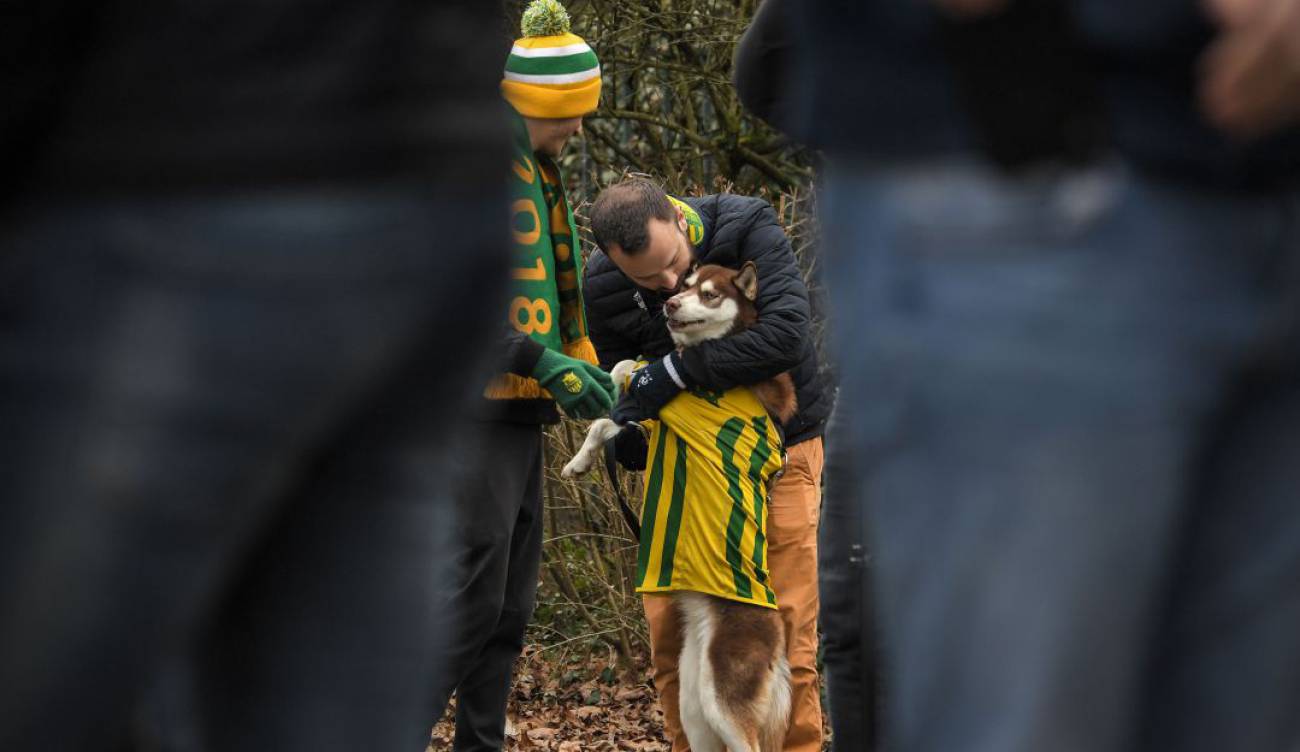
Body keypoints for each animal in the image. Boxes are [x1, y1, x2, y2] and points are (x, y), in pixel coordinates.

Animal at [561, 260, 790, 744]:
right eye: (684, 285)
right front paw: (581, 459)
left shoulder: (669, 407)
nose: (669, 304)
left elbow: (619, 402)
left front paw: (581, 455)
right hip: (695, 706)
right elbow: (619, 387)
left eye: (709, 294)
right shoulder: (651, 416)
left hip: (725, 703)